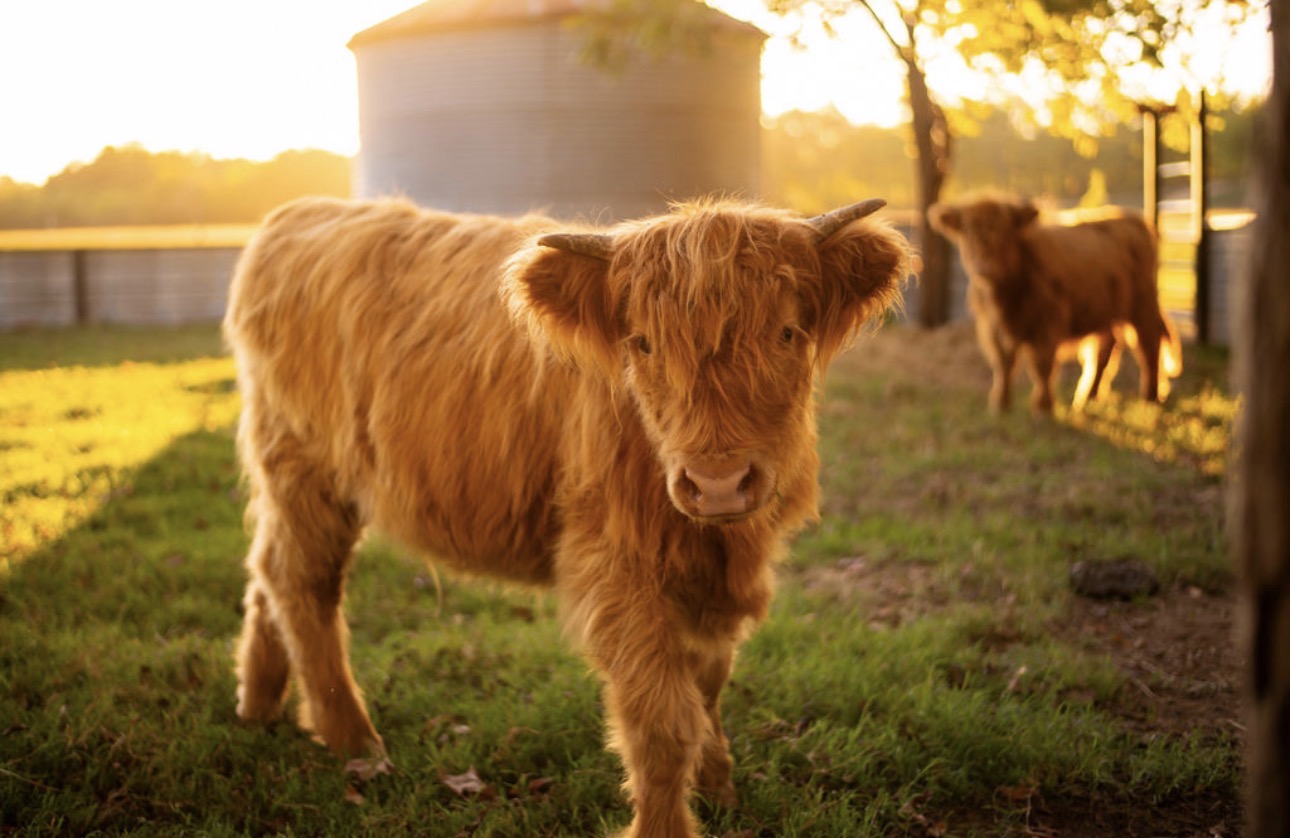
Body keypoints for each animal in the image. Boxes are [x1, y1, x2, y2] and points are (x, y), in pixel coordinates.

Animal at [222, 195, 911, 837]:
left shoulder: (720, 566)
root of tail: (296, 213)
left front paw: (720, 787)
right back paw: (353, 739)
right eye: (643, 343)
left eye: (786, 333)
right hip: (306, 472)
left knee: (265, 575)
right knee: (301, 584)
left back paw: (257, 704)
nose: (717, 484)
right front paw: (668, 823)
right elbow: (662, 719)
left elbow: (709, 683)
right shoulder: (615, 563)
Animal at [928, 194, 1182, 415]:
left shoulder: (1047, 324)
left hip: (1142, 304)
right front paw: (1000, 405)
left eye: (1005, 233)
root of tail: (1131, 217)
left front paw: (1043, 407)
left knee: (1149, 345)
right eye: (967, 233)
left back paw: (1150, 397)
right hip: (1104, 311)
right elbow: (1003, 365)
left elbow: (1042, 367)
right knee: (1105, 348)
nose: (984, 268)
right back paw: (1088, 397)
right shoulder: (993, 329)